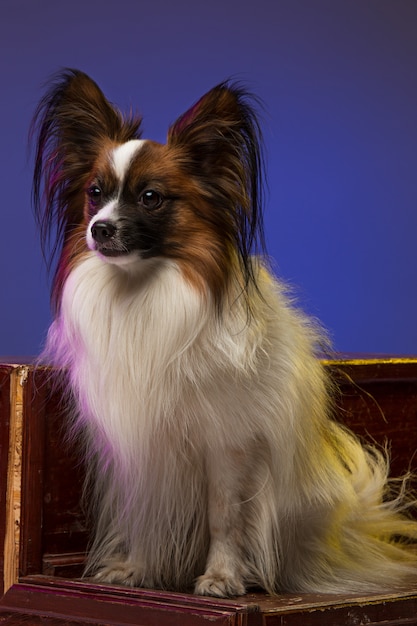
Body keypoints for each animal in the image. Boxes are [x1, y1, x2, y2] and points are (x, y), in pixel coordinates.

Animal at [31, 69, 416, 596]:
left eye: (150, 197)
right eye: (94, 193)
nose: (100, 229)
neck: (144, 292)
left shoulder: (229, 446)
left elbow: (225, 518)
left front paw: (221, 577)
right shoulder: (143, 448)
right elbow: (146, 515)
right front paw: (136, 571)